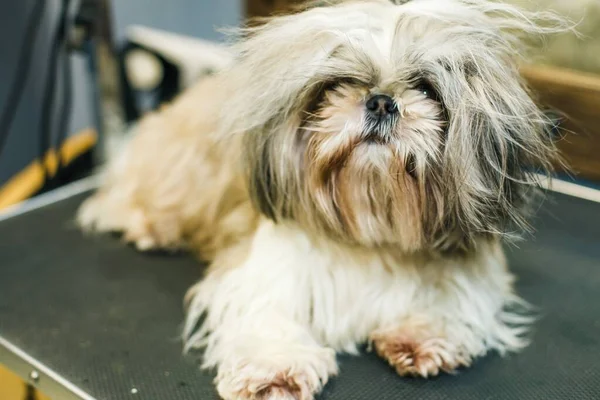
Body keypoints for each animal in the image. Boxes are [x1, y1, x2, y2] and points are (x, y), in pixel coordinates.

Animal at [78, 1, 568, 398]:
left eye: (426, 89)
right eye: (340, 84)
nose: (381, 102)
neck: (374, 221)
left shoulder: (467, 271)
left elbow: (450, 301)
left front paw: (421, 336)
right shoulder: (267, 272)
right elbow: (266, 316)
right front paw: (274, 368)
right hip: (177, 174)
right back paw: (149, 228)